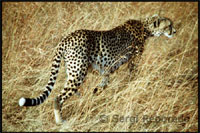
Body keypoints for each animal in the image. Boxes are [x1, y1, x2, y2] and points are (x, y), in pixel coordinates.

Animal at [18, 14, 175, 123]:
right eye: (169, 25)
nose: (174, 31)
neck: (145, 27)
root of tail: (67, 38)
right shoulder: (133, 60)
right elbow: (132, 75)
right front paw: (132, 85)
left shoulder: (106, 70)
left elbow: (103, 84)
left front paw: (96, 94)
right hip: (78, 73)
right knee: (58, 97)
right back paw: (60, 121)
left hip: (73, 71)